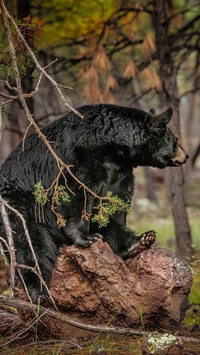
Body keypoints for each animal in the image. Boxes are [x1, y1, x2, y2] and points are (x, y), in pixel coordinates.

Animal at [0, 104, 188, 302]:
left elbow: (115, 205)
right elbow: (77, 193)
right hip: (21, 205)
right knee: (29, 243)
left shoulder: (120, 172)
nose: (186, 156)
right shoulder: (81, 157)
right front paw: (85, 238)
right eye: (175, 140)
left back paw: (141, 241)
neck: (113, 145)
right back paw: (39, 290)